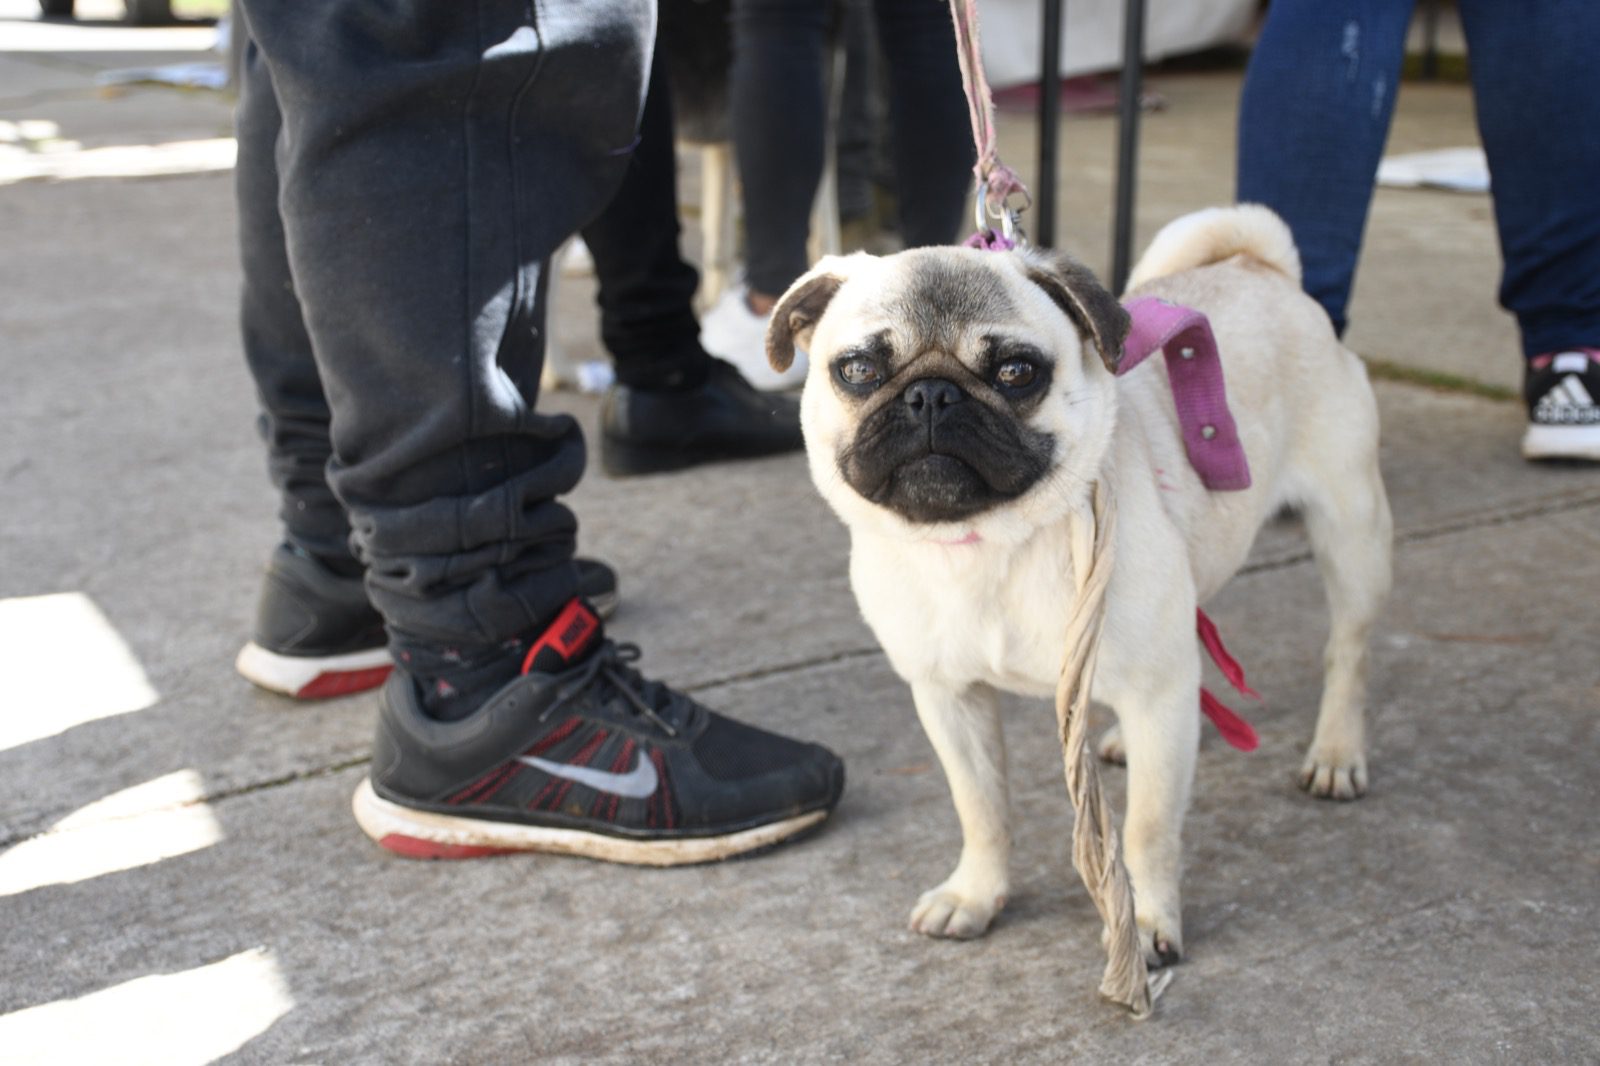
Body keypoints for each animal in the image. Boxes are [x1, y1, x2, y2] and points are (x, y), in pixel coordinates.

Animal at [768, 203, 1395, 960]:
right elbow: (981, 806)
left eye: (1016, 372)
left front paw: (1148, 922)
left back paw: (1336, 753)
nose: (931, 395)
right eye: (858, 368)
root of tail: (1256, 265)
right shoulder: (949, 697)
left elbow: (1148, 828)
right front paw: (976, 894)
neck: (985, 544)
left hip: (1351, 532)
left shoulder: (1154, 694)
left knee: (1348, 653)